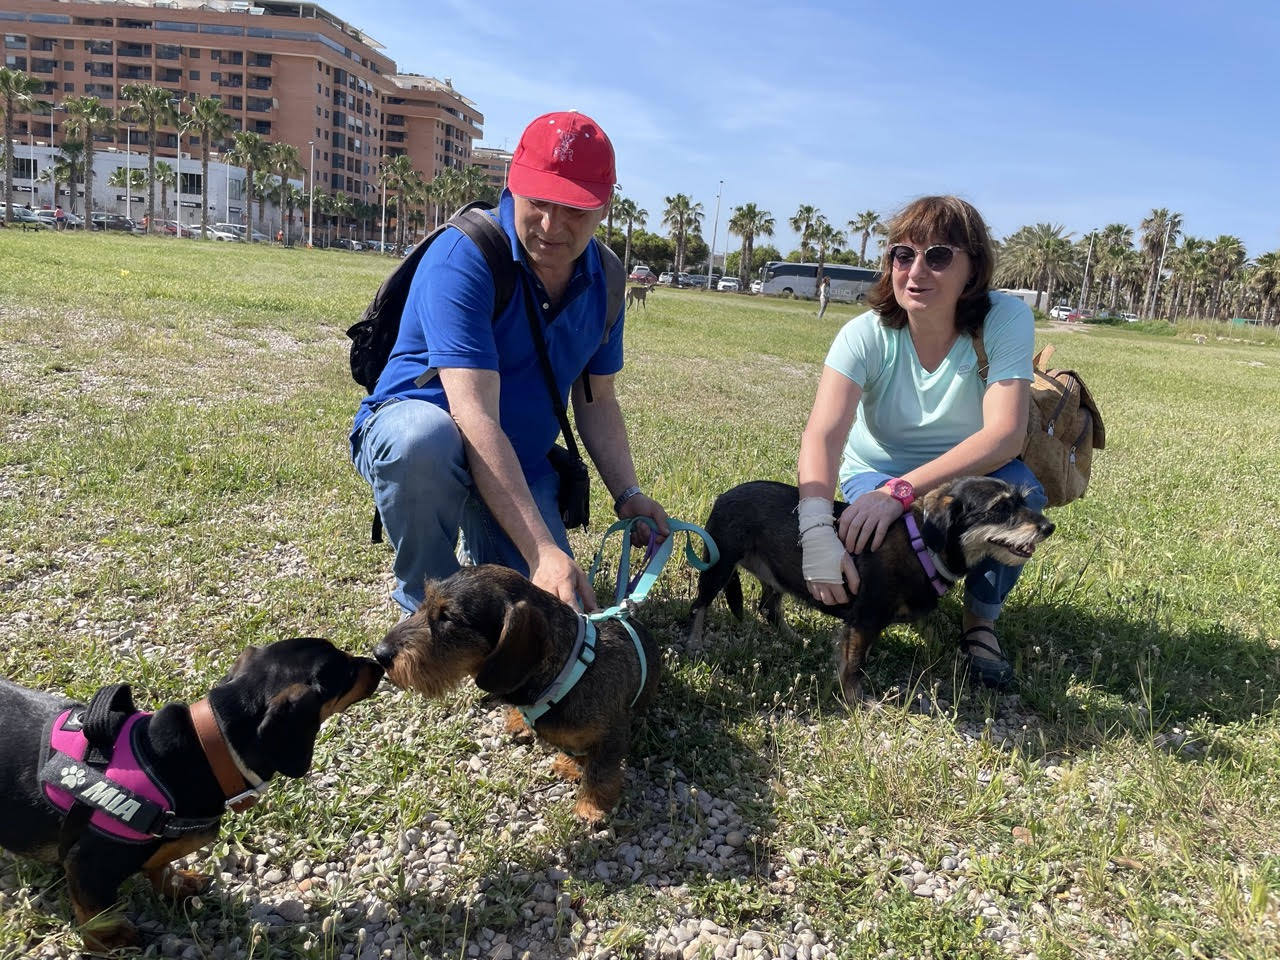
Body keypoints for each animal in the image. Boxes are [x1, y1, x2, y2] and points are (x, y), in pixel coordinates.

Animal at [0, 640, 381, 957]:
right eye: (347, 672)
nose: (377, 660)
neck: (204, 749)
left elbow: (161, 864)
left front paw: (177, 884)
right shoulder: (86, 866)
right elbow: (95, 912)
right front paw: (110, 939)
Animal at [373, 568, 655, 824]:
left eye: (449, 617)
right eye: (425, 602)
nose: (379, 653)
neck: (568, 672)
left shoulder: (612, 735)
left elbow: (600, 772)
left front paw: (591, 807)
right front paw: (570, 763)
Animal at [686, 478, 1054, 701]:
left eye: (1021, 501)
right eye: (1000, 508)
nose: (1049, 527)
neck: (923, 544)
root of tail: (724, 495)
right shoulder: (865, 619)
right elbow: (853, 664)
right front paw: (856, 701)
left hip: (777, 575)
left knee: (767, 607)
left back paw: (794, 638)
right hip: (718, 566)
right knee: (699, 605)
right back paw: (695, 643)